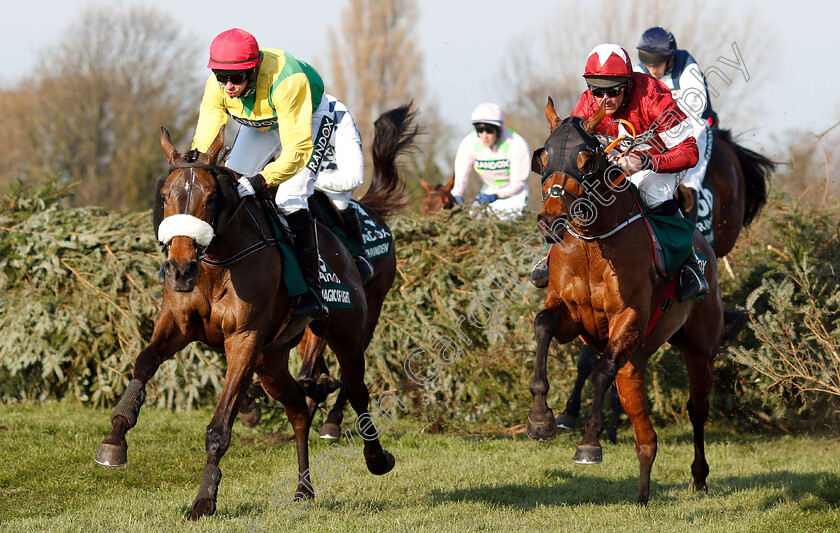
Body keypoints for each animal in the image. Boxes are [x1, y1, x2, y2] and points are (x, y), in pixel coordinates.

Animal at [93, 121, 396, 520]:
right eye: (165, 195)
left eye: (210, 198)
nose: (179, 269)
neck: (214, 265)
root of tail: (343, 248)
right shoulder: (177, 324)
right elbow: (144, 362)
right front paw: (115, 438)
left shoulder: (244, 340)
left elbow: (220, 427)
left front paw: (204, 500)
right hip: (271, 362)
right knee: (298, 410)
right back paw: (304, 488)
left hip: (346, 332)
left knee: (357, 389)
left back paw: (375, 456)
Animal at [528, 98, 724, 502]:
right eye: (544, 155)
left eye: (585, 160)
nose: (550, 221)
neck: (592, 244)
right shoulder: (569, 313)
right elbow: (543, 326)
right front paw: (540, 419)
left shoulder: (629, 318)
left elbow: (601, 370)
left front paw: (589, 443)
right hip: (636, 361)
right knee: (645, 436)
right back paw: (643, 494)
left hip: (698, 349)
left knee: (697, 409)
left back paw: (699, 477)